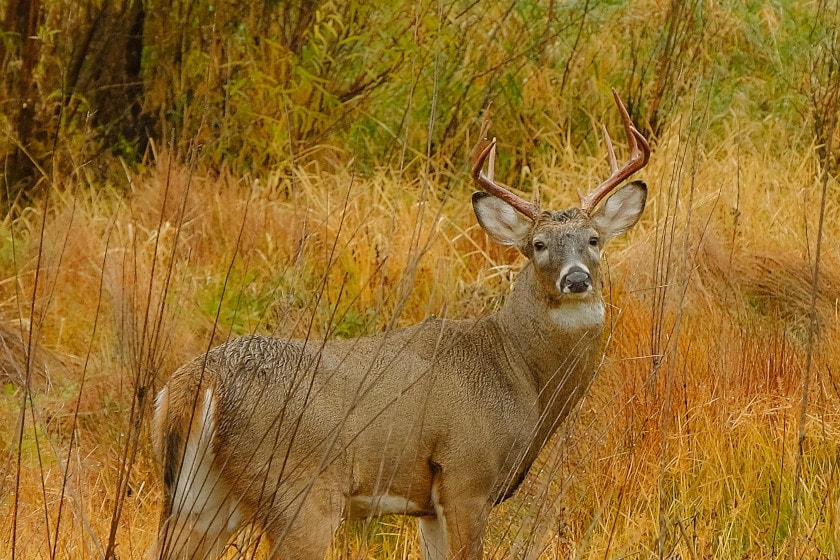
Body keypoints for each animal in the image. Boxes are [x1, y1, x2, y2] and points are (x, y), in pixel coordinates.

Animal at [151, 89, 648, 556]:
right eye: (539, 244)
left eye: (593, 239)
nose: (577, 278)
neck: (518, 370)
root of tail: (194, 384)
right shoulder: (466, 472)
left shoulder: (426, 506)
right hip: (299, 492)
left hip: (198, 499)